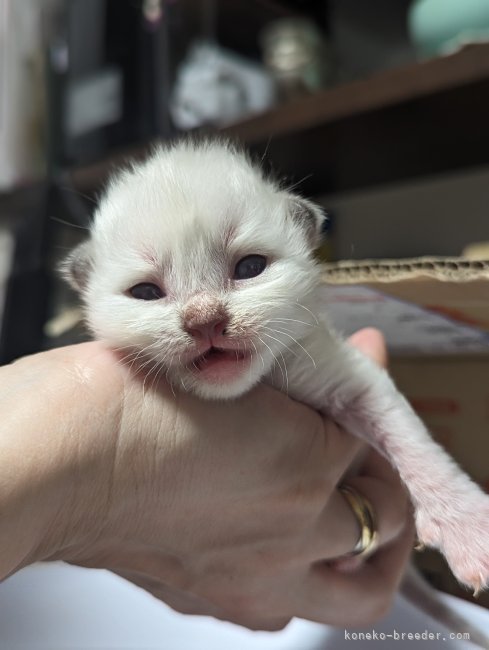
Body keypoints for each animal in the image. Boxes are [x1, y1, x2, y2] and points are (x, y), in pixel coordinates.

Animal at [65, 138, 488, 592]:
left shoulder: (346, 376)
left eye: (250, 267)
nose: (204, 319)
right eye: (145, 291)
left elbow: (413, 442)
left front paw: (467, 529)